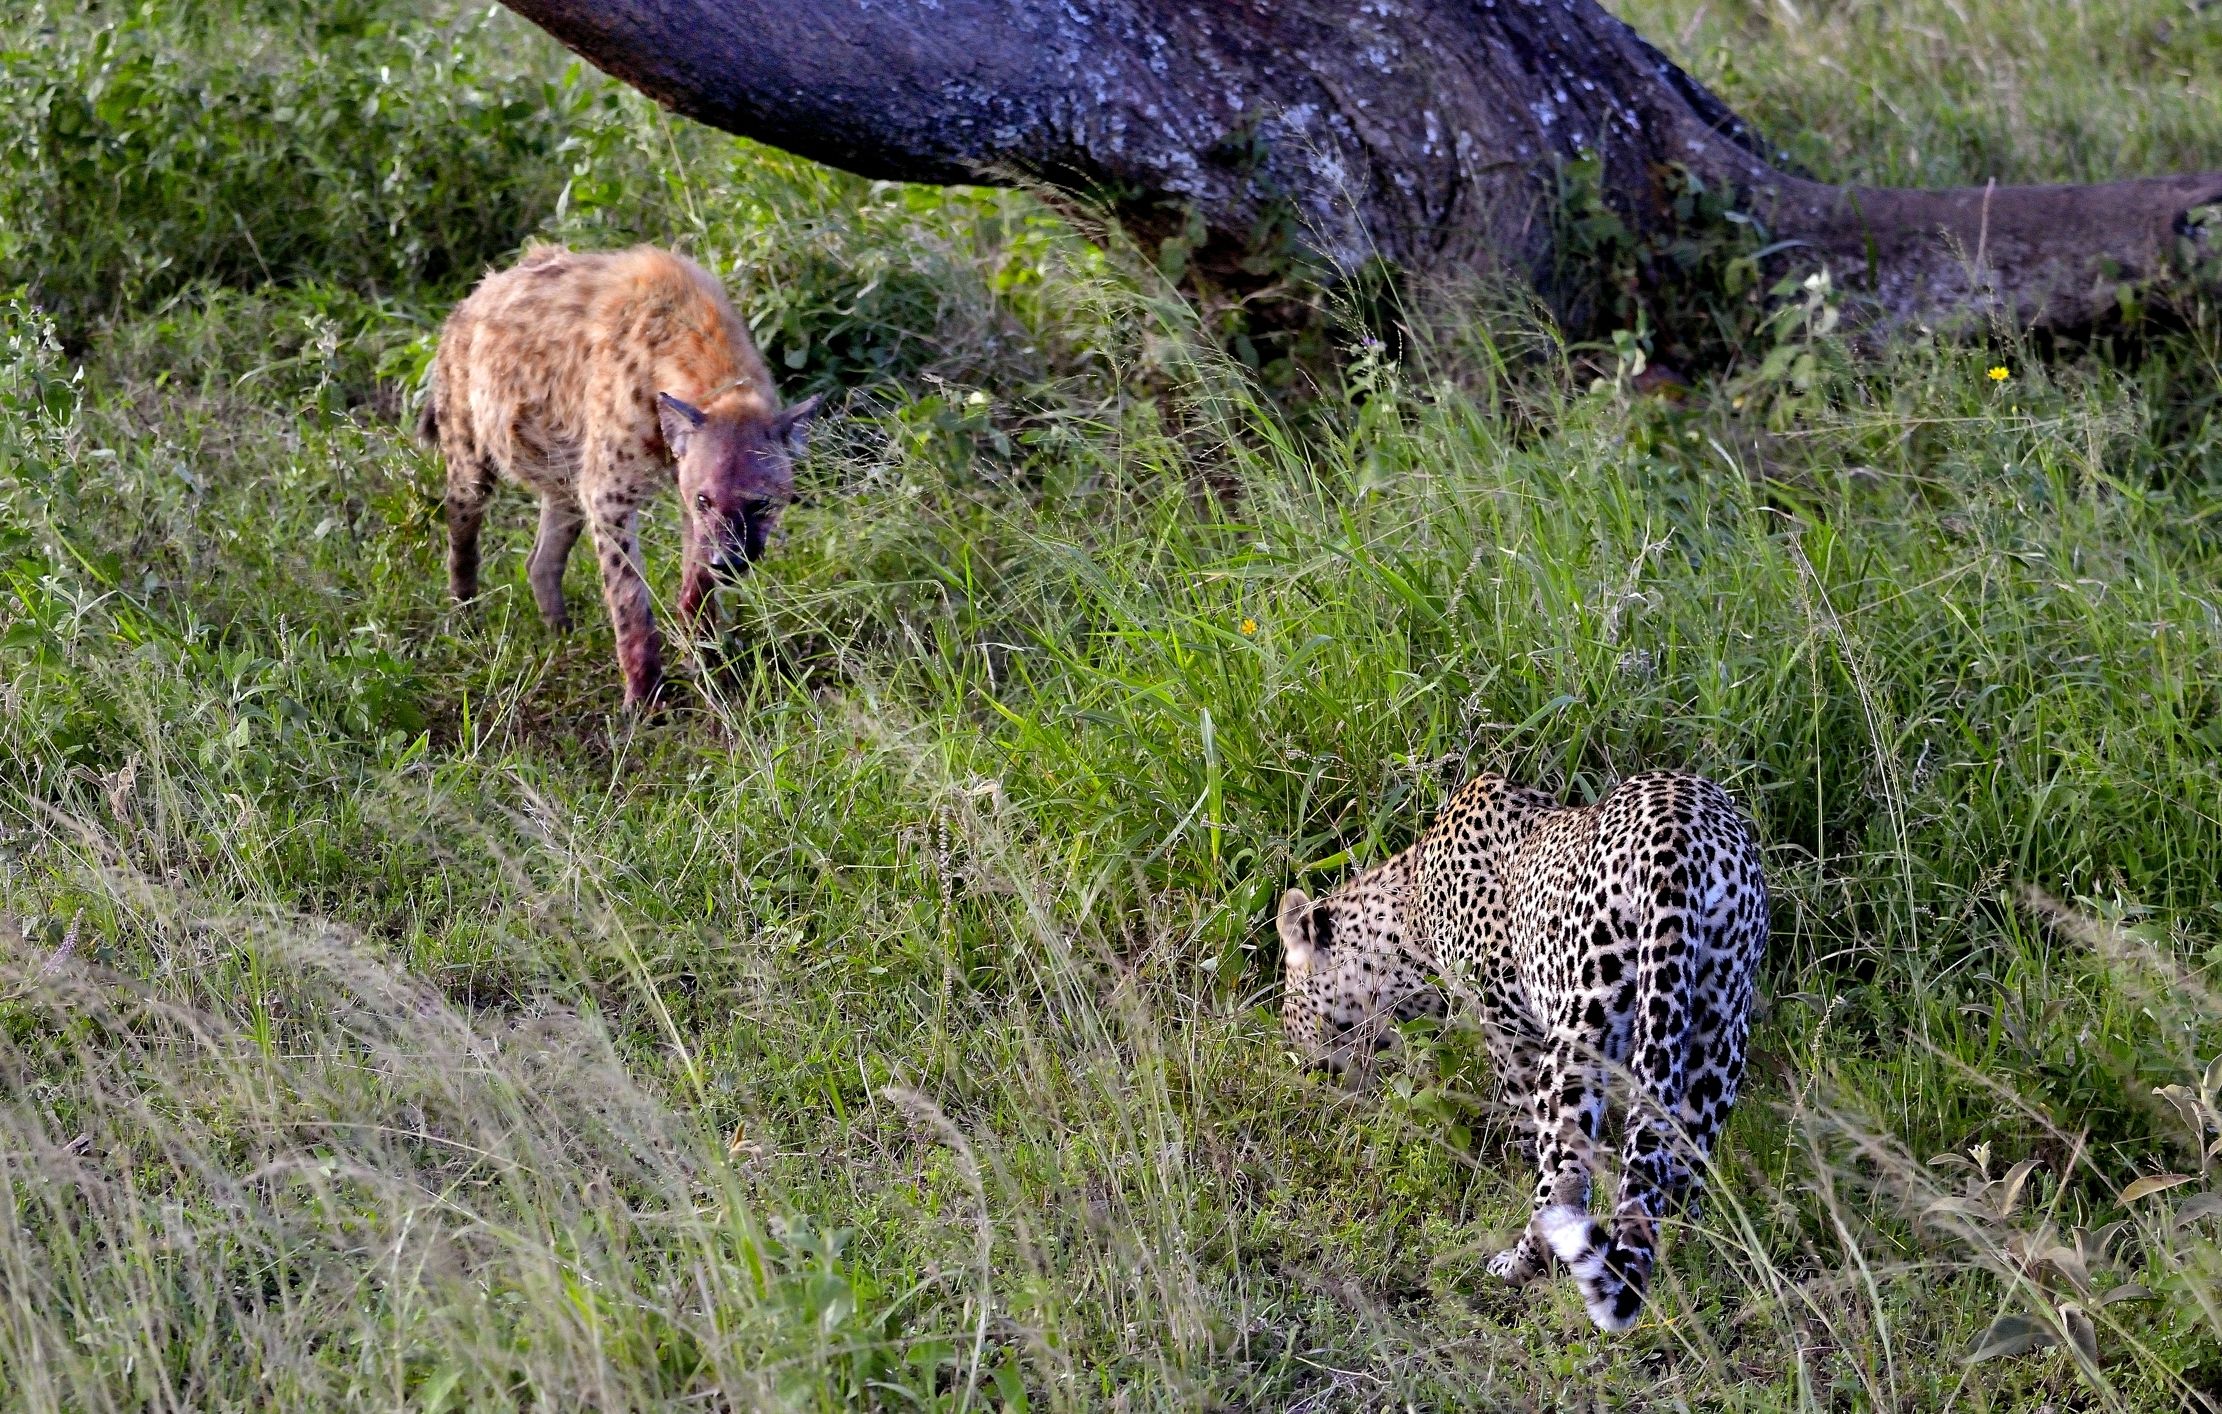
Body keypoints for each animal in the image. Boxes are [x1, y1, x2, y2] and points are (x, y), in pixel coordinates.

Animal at [1277, 769, 1768, 1331]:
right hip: (1719, 1020)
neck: (1408, 915)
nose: (1306, 1066)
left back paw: (1521, 1263)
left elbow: (1524, 1123)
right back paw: (1684, 1251)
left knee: (1567, 1176)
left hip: (1581, 1022)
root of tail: (1677, 833)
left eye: (1290, 1002)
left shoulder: (1508, 1025)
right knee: (1683, 1160)